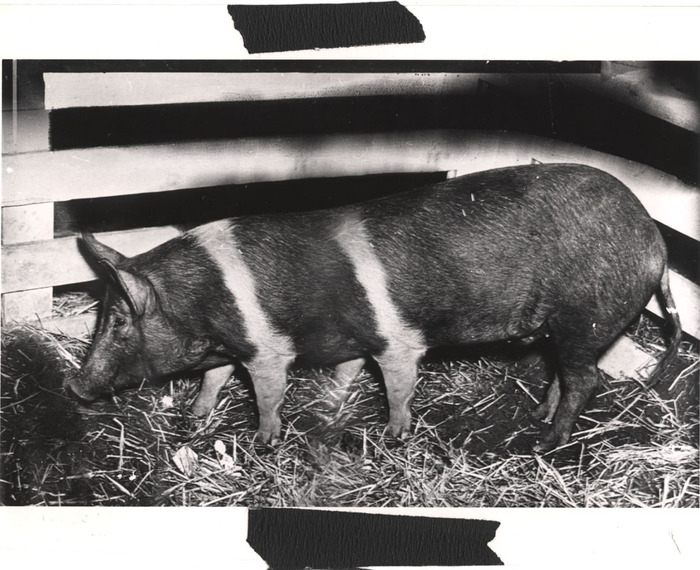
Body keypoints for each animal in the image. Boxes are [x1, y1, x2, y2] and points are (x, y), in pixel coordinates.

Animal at [70, 163, 682, 453]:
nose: (75, 386)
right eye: (102, 317)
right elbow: (222, 379)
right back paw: (536, 416)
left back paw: (544, 443)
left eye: (119, 321)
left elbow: (283, 392)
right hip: (566, 325)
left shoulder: (313, 347)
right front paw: (197, 417)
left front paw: (271, 440)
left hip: (587, 315)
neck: (212, 301)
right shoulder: (334, 343)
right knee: (563, 373)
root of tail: (655, 239)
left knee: (586, 379)